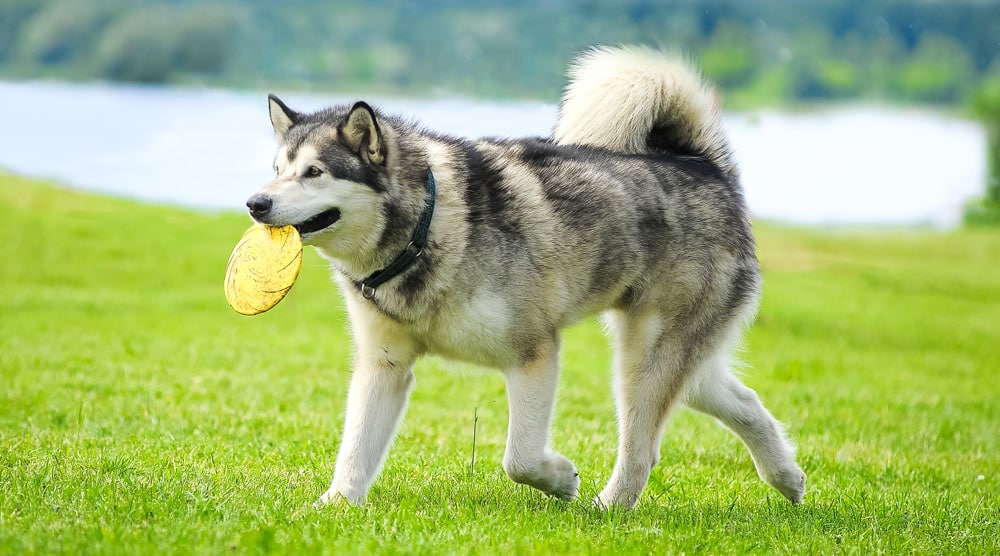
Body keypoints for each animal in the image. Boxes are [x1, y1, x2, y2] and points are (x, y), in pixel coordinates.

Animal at [248, 46, 804, 508]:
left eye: (314, 172)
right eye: (276, 169)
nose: (255, 203)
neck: (427, 228)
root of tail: (706, 166)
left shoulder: (534, 352)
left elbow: (519, 458)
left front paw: (560, 480)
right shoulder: (384, 365)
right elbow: (355, 451)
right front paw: (334, 507)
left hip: (644, 362)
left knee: (641, 449)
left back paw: (607, 508)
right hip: (674, 358)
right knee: (741, 400)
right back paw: (788, 479)